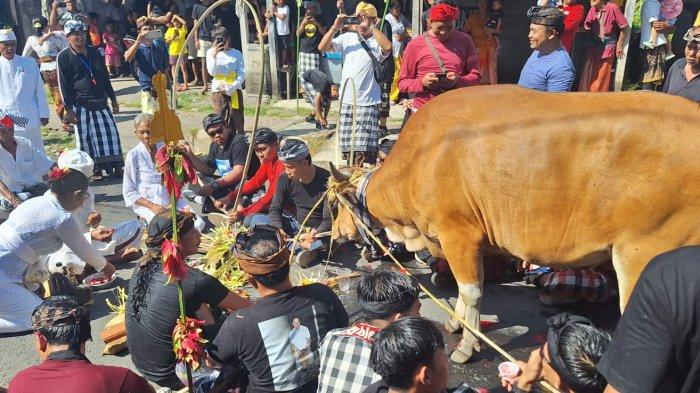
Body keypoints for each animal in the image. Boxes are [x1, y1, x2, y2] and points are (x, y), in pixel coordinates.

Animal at [330, 84, 700, 362]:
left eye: (334, 205)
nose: (337, 234)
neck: (421, 158)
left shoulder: (458, 233)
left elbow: (472, 291)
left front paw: (466, 346)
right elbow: (466, 291)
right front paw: (456, 324)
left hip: (641, 254)